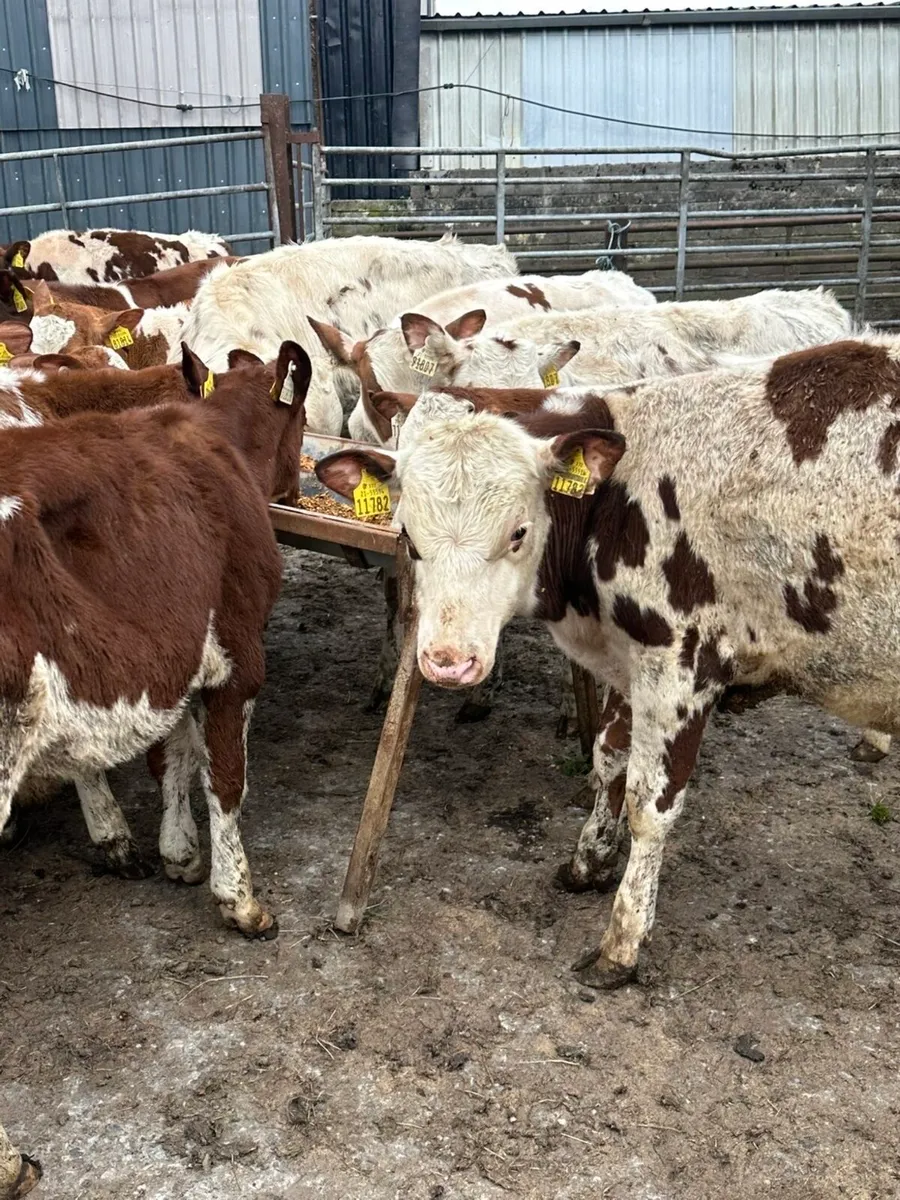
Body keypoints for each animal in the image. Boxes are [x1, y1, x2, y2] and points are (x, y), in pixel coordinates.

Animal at [0, 341, 308, 936]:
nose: (301, 493)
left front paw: (179, 852)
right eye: (304, 420)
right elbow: (225, 779)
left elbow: (171, 756)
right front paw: (239, 899)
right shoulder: (239, 656)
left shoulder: (181, 656)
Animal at [317, 342, 900, 986]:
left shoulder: (683, 667)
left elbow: (650, 804)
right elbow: (610, 758)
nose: (448, 661)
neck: (616, 496)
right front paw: (589, 859)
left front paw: (621, 941)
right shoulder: (629, 659)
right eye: (410, 537)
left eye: (518, 533)